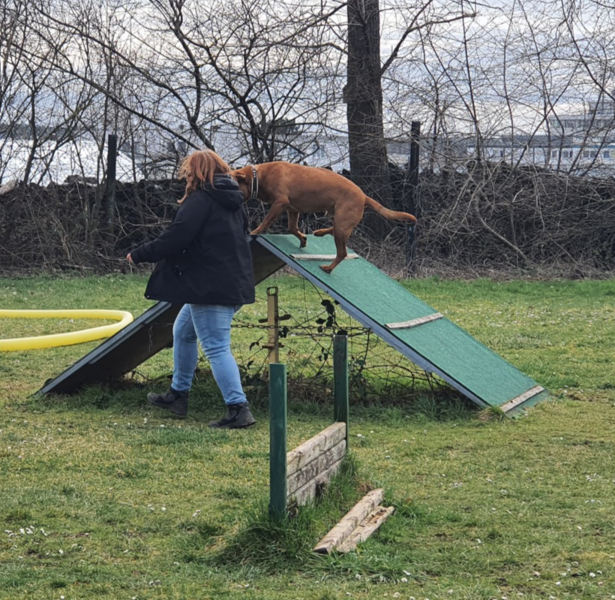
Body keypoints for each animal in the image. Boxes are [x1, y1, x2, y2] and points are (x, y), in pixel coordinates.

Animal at [231, 161, 417, 273]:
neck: (260, 176)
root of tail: (364, 196)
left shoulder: (280, 203)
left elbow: (266, 221)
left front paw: (255, 231)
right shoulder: (292, 210)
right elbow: (292, 228)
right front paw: (302, 239)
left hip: (342, 222)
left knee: (342, 252)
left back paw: (328, 268)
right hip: (340, 219)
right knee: (334, 232)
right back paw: (320, 233)